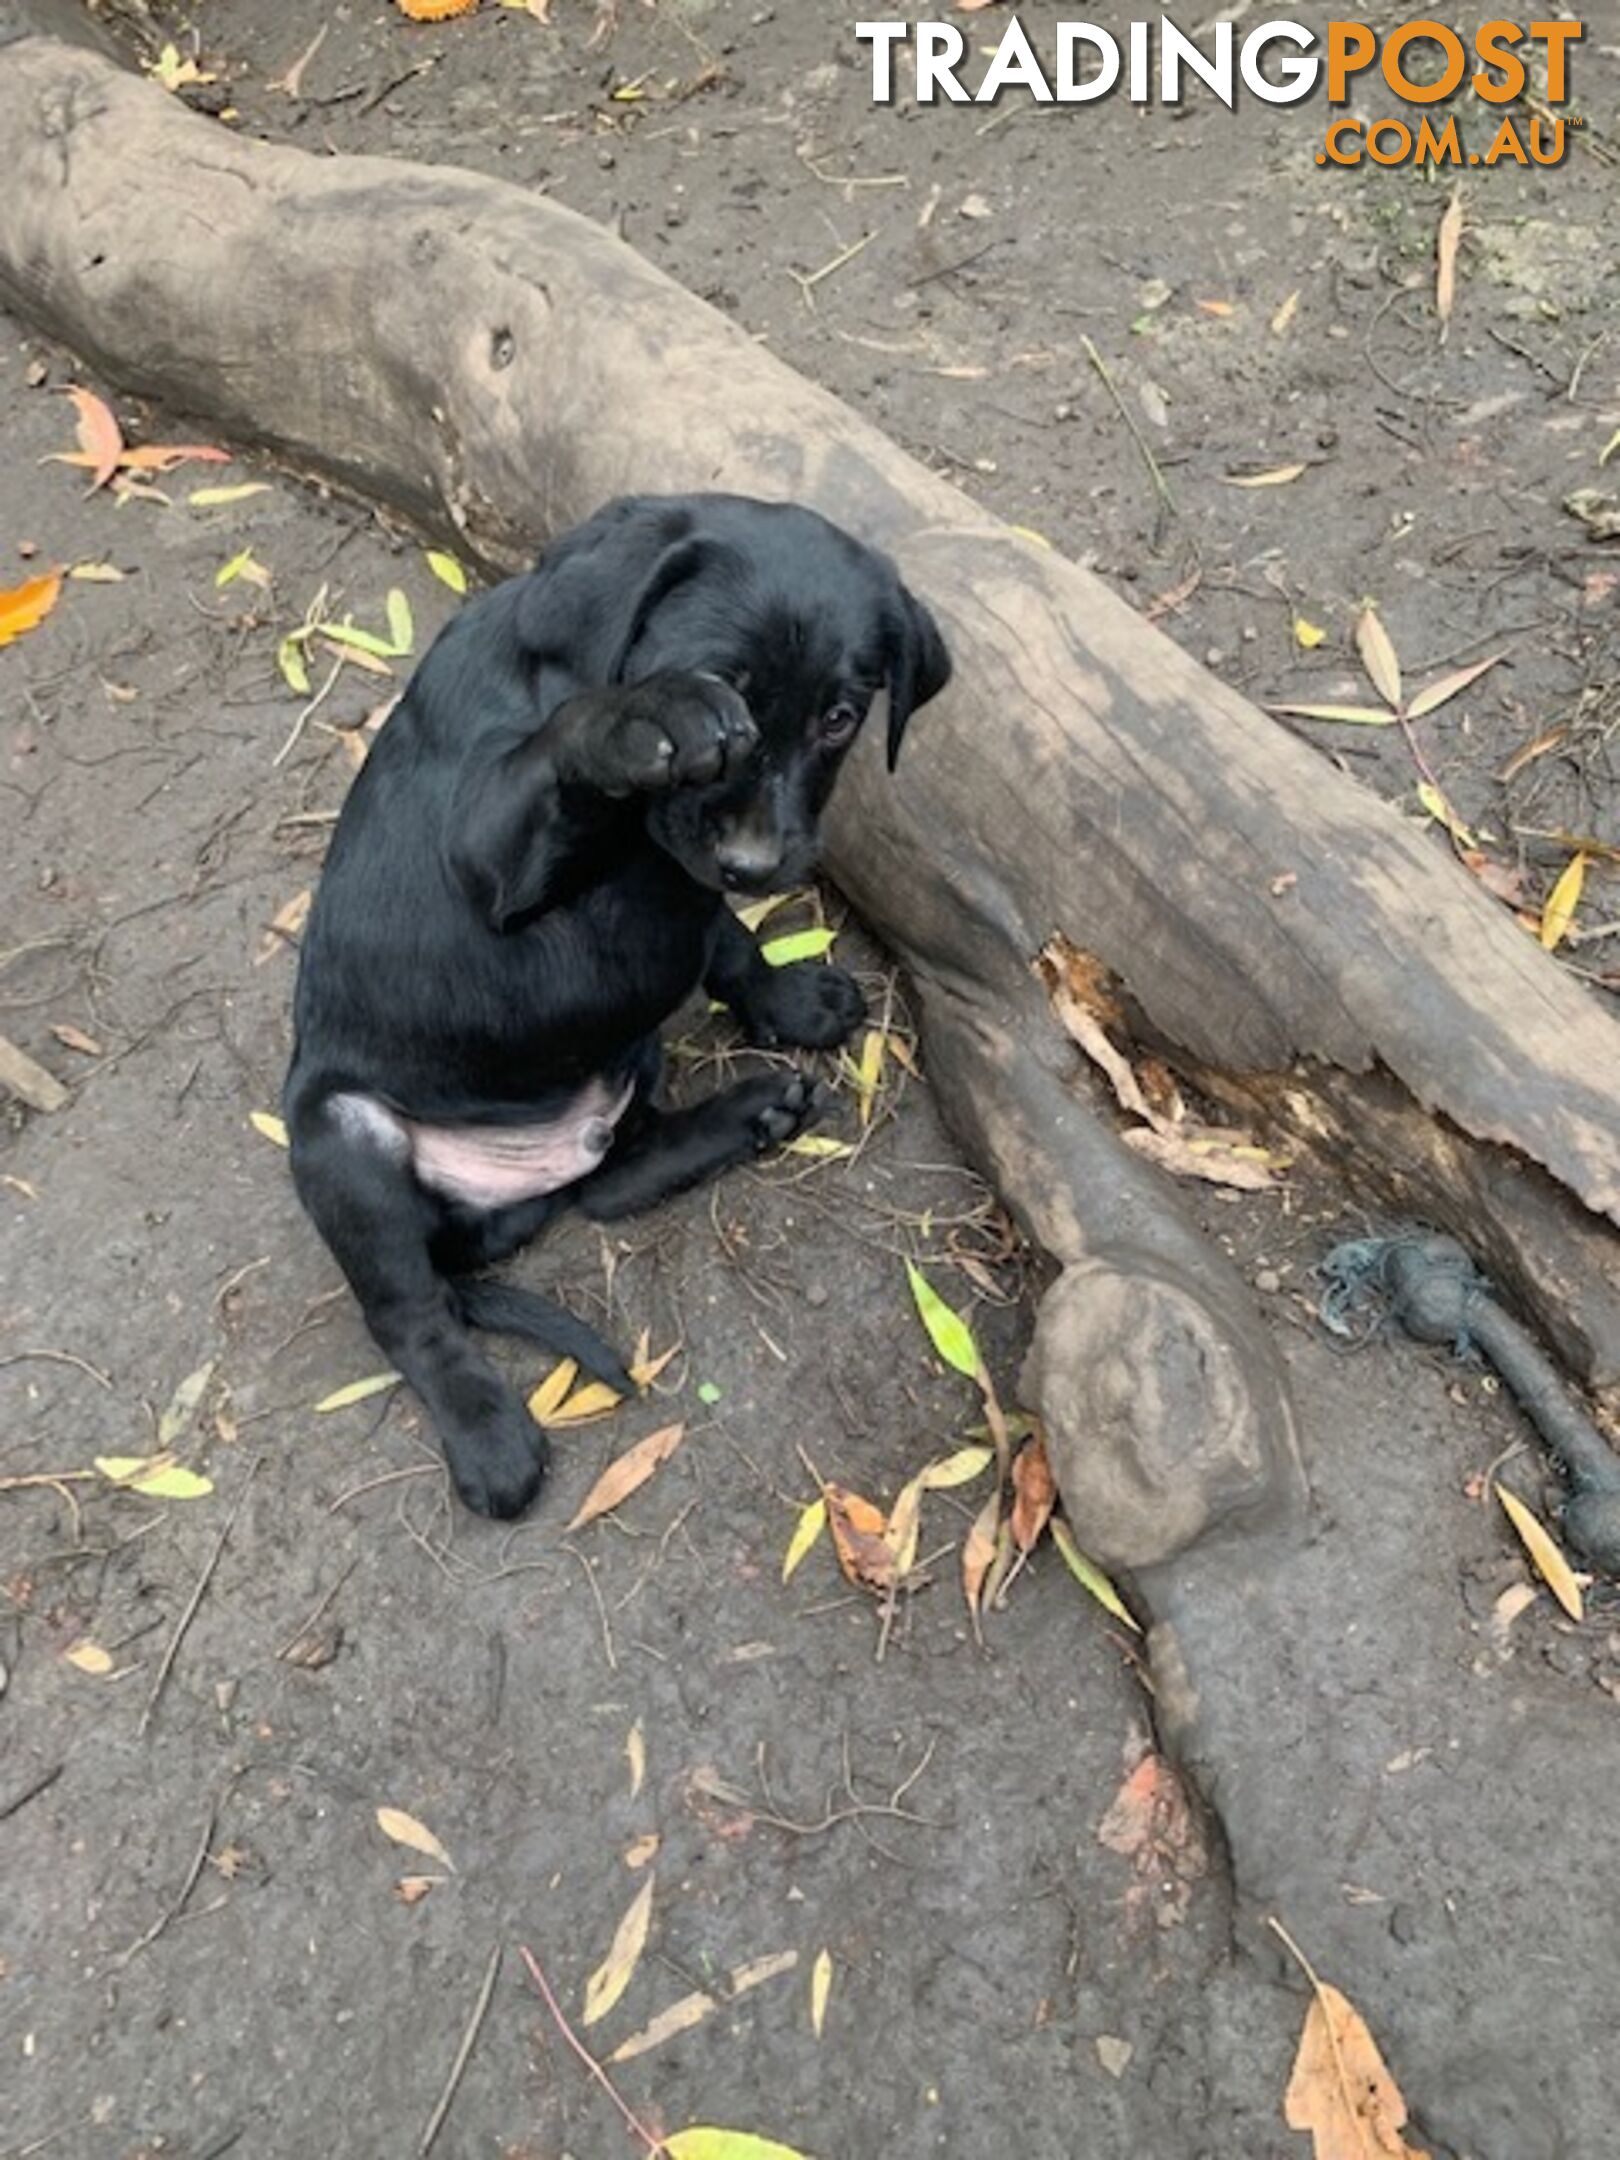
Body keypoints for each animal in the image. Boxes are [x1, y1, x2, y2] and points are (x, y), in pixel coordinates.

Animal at [287, 496, 959, 1529]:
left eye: (841, 719)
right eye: (722, 696)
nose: (756, 863)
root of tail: (507, 1198)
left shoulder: (683, 892)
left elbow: (726, 942)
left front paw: (793, 1000)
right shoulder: (490, 855)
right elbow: (568, 760)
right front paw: (639, 718)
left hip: (623, 1060)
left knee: (611, 1177)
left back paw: (749, 1113)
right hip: (342, 1138)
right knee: (409, 1314)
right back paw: (489, 1436)